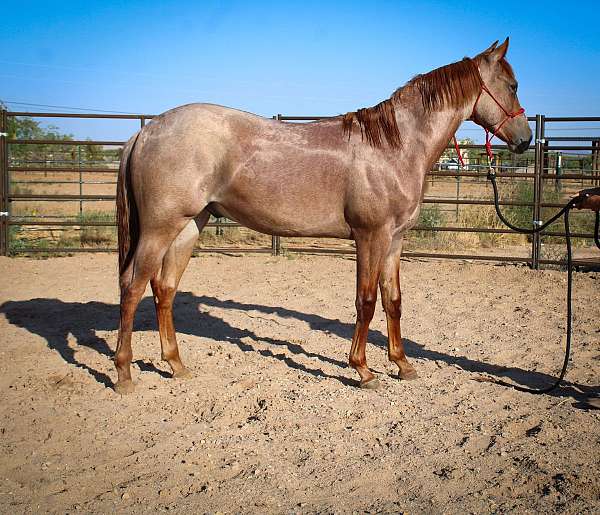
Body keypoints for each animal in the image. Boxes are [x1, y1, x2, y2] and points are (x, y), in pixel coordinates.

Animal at [115, 39, 532, 396]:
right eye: (512, 85)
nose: (526, 139)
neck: (393, 146)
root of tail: (147, 131)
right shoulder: (370, 236)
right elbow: (366, 301)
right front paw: (363, 370)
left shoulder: (395, 240)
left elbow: (393, 300)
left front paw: (403, 365)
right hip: (159, 228)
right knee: (133, 286)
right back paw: (124, 374)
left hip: (189, 225)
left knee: (164, 288)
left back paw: (176, 365)